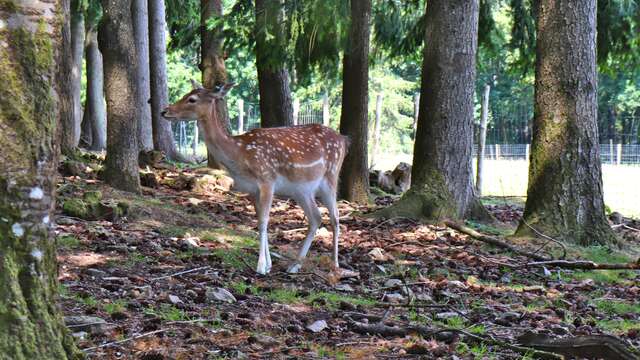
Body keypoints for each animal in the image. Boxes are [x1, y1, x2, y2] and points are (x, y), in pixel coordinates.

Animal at [160, 80, 350, 274]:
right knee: (316, 217)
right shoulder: (251, 188)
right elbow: (258, 220)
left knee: (335, 217)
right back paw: (295, 265)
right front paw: (268, 264)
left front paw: (260, 266)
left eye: (192, 99)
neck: (240, 155)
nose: (165, 111)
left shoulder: (267, 180)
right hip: (302, 190)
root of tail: (344, 140)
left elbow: (264, 221)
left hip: (331, 177)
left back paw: (335, 264)